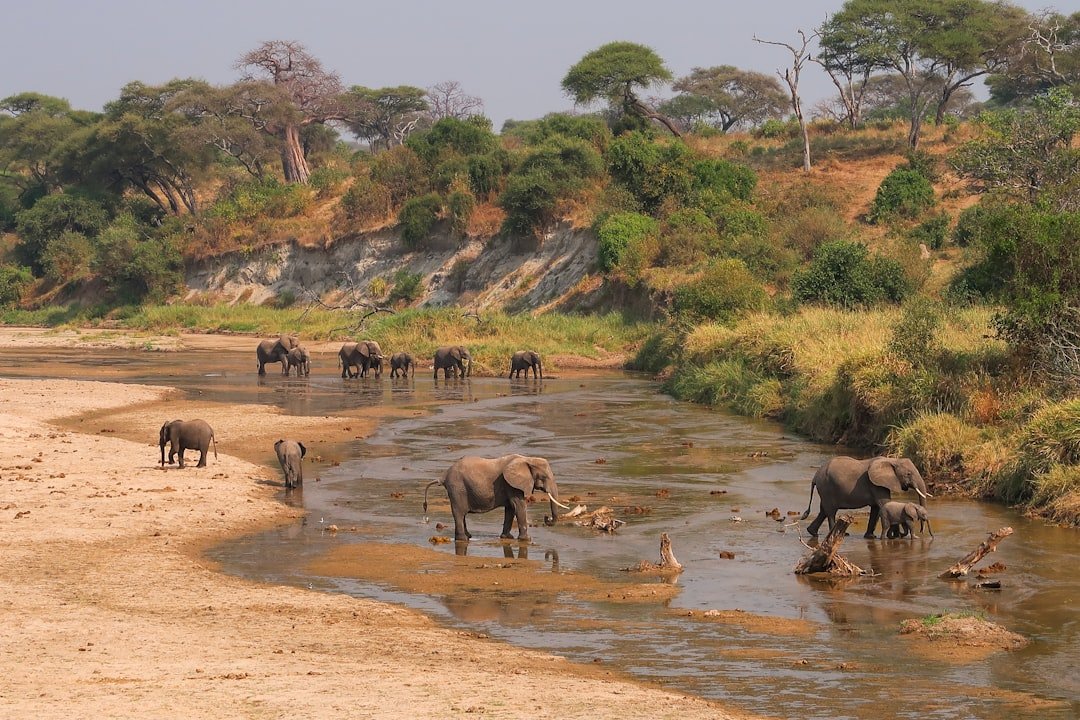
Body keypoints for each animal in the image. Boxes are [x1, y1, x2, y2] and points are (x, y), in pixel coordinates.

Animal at [423, 454, 570, 542]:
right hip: (457, 488)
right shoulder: (512, 484)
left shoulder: (510, 485)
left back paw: (468, 536)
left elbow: (510, 508)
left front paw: (507, 537)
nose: (546, 517)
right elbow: (518, 506)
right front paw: (527, 540)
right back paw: (463, 539)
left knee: (461, 514)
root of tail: (443, 476)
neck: (527, 459)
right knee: (459, 513)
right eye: (544, 477)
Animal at [800, 456, 931, 539]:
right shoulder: (875, 484)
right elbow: (884, 503)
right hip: (827, 487)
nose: (922, 531)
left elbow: (876, 508)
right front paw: (896, 536)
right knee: (831, 512)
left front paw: (871, 537)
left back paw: (813, 533)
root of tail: (815, 476)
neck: (892, 460)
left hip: (824, 489)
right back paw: (837, 534)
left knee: (823, 510)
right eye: (908, 474)